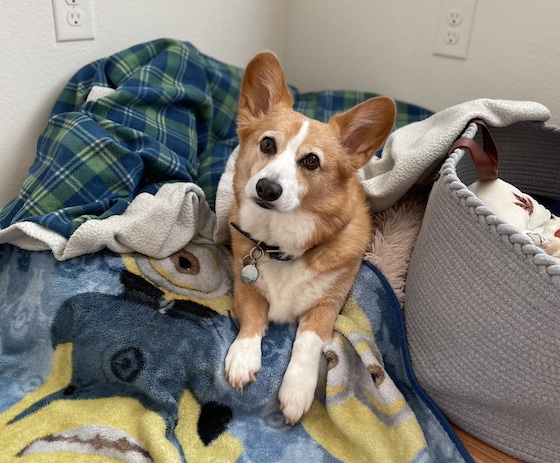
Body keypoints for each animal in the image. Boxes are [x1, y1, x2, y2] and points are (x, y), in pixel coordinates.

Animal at [225, 52, 396, 426]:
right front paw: (243, 358)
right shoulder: (245, 285)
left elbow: (307, 342)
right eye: (267, 144)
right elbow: (252, 319)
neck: (281, 245)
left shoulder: (327, 306)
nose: (267, 188)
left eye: (311, 161)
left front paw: (296, 392)